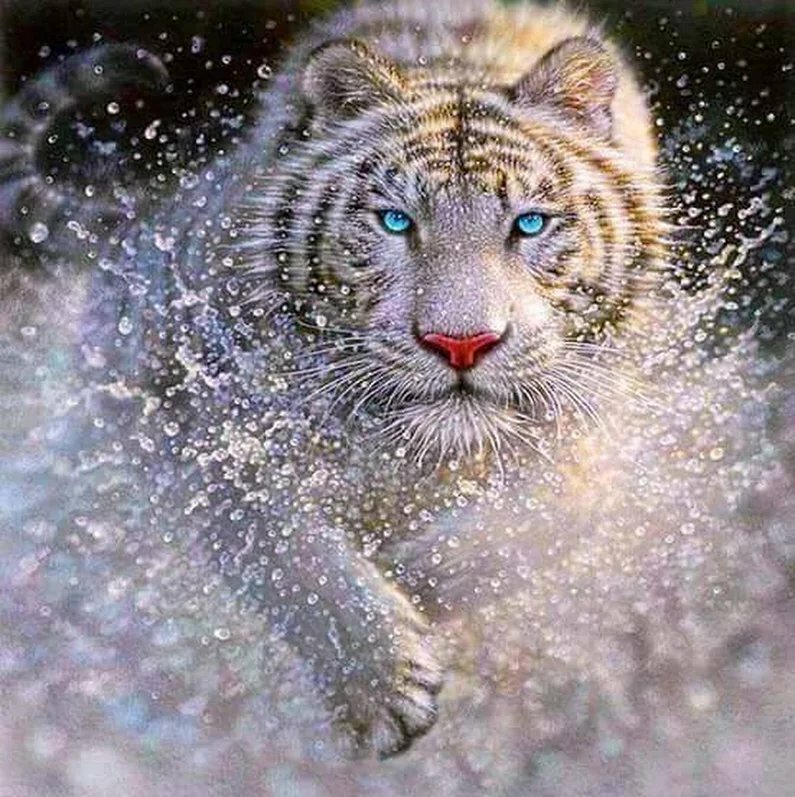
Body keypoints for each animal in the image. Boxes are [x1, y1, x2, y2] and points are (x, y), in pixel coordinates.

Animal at [0, 0, 669, 757]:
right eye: (395, 221)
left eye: (529, 224)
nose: (460, 343)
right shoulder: (182, 400)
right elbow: (281, 544)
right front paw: (382, 686)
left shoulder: (599, 432)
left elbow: (547, 516)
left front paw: (414, 581)